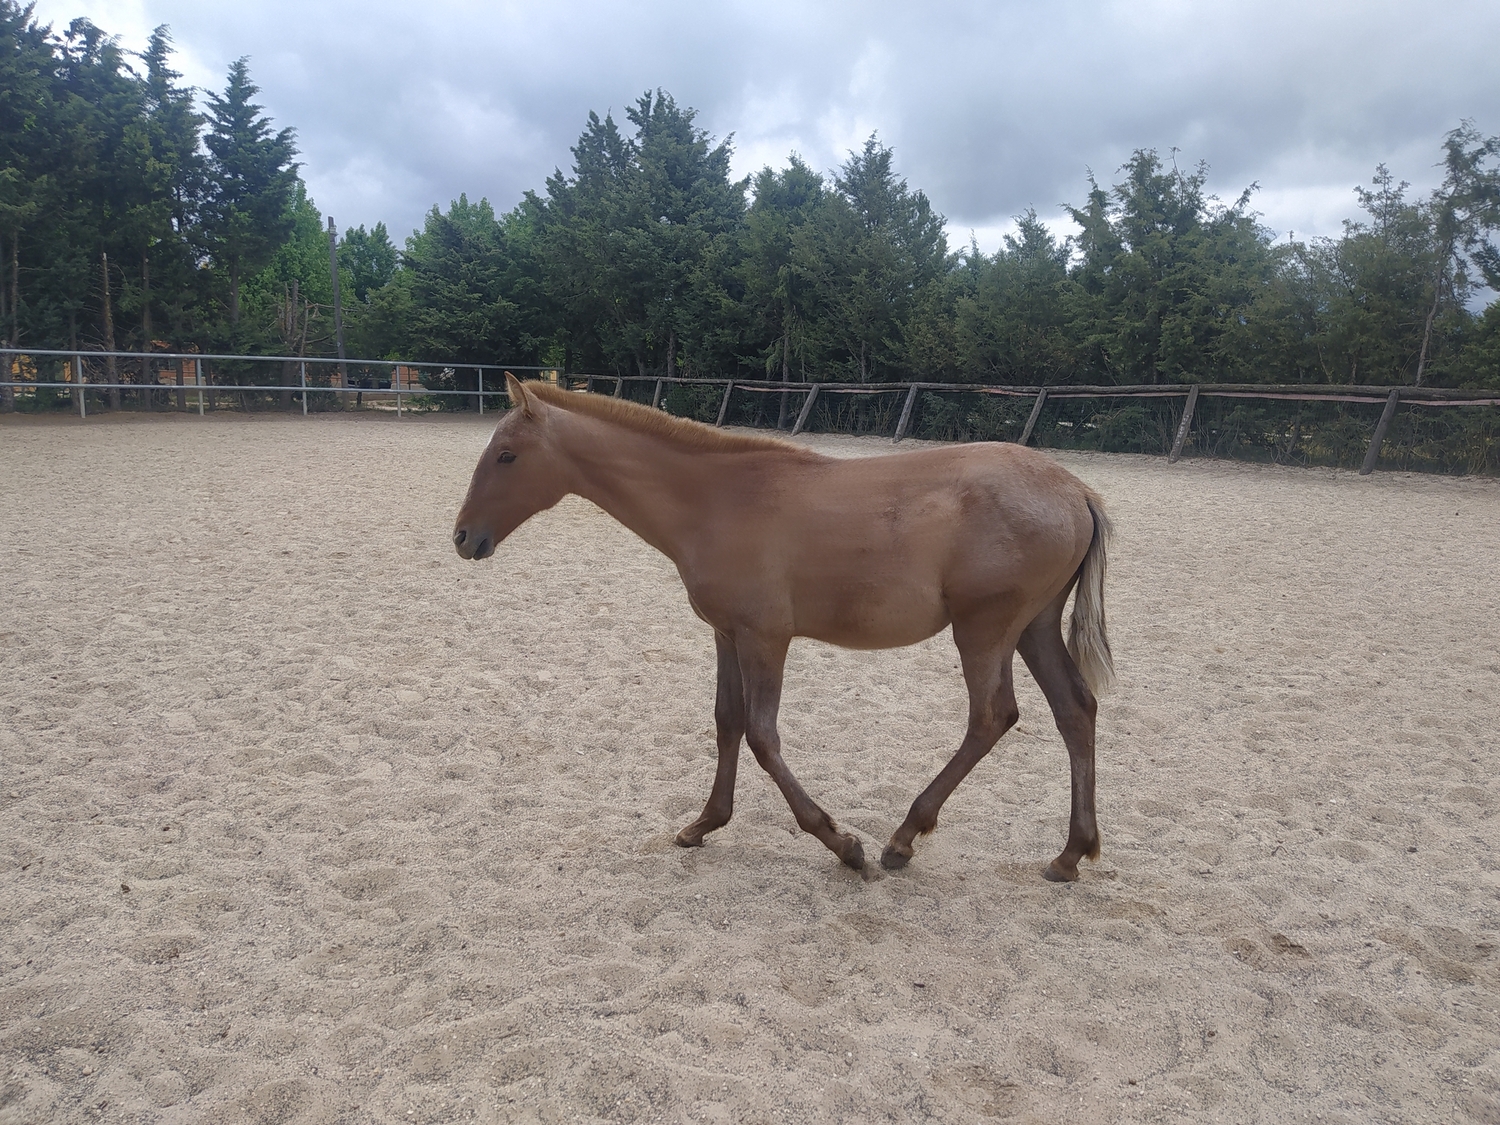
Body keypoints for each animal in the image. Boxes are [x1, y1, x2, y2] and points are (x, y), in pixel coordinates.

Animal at [453, 374, 1114, 880]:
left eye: (507, 455)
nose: (463, 537)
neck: (716, 500)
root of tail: (1077, 489)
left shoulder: (766, 638)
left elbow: (762, 736)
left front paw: (841, 844)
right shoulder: (727, 633)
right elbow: (727, 721)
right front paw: (702, 825)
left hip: (984, 629)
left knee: (992, 716)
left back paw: (902, 838)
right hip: (1032, 628)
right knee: (1075, 710)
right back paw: (1070, 854)